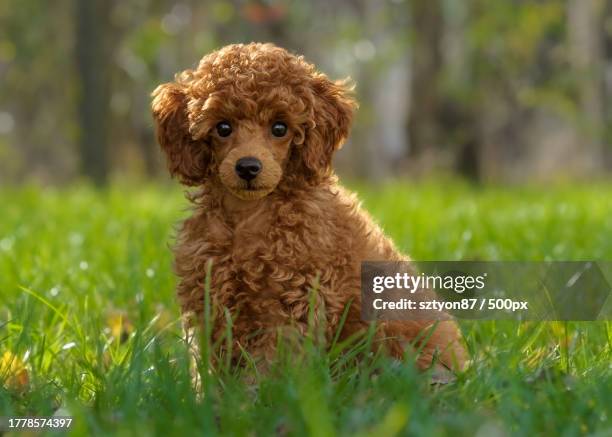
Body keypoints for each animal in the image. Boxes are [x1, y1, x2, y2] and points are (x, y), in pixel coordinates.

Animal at [152, 42, 464, 372]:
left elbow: (269, 365)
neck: (248, 216)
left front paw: (261, 388)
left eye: (280, 128)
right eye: (222, 128)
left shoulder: (293, 302)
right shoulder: (208, 296)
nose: (248, 167)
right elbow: (208, 366)